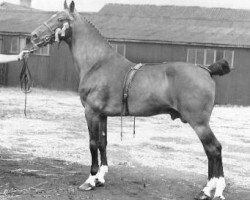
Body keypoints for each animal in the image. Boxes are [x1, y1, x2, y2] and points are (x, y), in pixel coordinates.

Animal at [30, 0, 231, 199]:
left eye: (60, 18)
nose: (33, 35)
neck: (98, 64)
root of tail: (206, 70)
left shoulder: (91, 112)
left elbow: (93, 143)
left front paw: (91, 180)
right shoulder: (102, 115)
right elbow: (103, 143)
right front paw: (101, 178)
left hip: (199, 123)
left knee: (214, 149)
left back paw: (210, 190)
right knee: (213, 151)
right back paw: (213, 190)